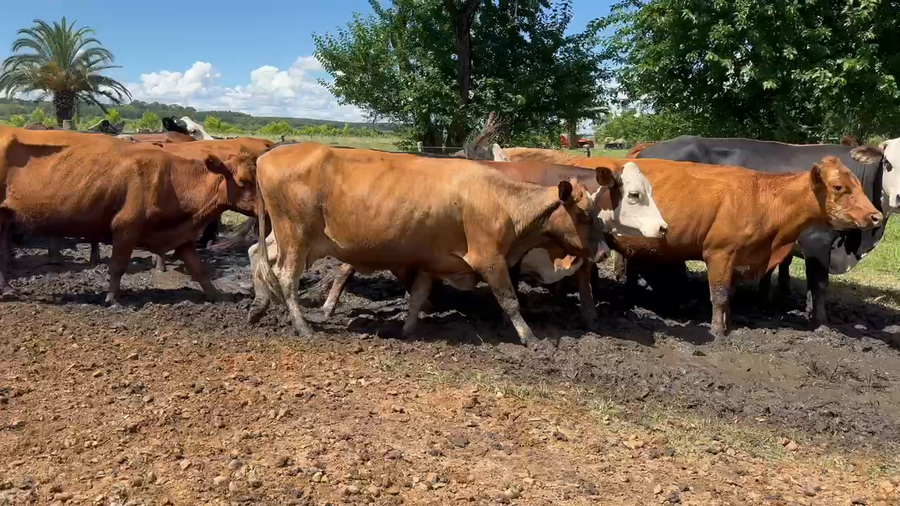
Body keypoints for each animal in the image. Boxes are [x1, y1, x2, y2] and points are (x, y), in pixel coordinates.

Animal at [0, 128, 257, 302]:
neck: (170, 180)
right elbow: (118, 265)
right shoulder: (125, 228)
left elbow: (199, 268)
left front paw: (218, 297)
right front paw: (111, 299)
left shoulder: (180, 236)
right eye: (244, 181)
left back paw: (8, 290)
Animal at [247, 142, 611, 346]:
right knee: (286, 277)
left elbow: (419, 295)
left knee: (258, 256)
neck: (502, 200)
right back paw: (302, 327)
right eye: (585, 215)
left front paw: (406, 330)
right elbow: (510, 301)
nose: (606, 251)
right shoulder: (490, 259)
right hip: (295, 235)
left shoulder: (431, 262)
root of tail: (268, 154)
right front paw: (530, 338)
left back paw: (258, 307)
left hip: (290, 237)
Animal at [499, 148, 881, 336]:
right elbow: (719, 294)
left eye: (857, 182)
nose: (876, 215)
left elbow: (729, 295)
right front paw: (719, 331)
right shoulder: (720, 253)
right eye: (839, 187)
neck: (761, 197)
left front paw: (729, 323)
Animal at [633, 135, 898, 323]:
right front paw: (821, 323)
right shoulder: (816, 240)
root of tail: (648, 149)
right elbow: (819, 283)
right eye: (888, 163)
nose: (899, 197)